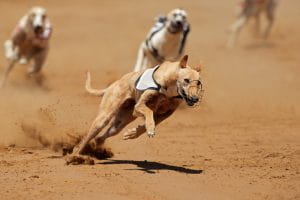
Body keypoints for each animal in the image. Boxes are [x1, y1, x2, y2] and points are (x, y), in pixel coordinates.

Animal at [66, 55, 203, 165]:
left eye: (198, 83)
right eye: (186, 80)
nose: (195, 98)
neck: (170, 86)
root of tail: (112, 85)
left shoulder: (166, 113)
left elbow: (147, 124)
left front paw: (133, 133)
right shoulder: (139, 106)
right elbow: (149, 112)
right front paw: (150, 128)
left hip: (119, 123)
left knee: (101, 137)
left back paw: (98, 150)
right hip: (104, 118)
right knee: (85, 139)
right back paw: (75, 156)